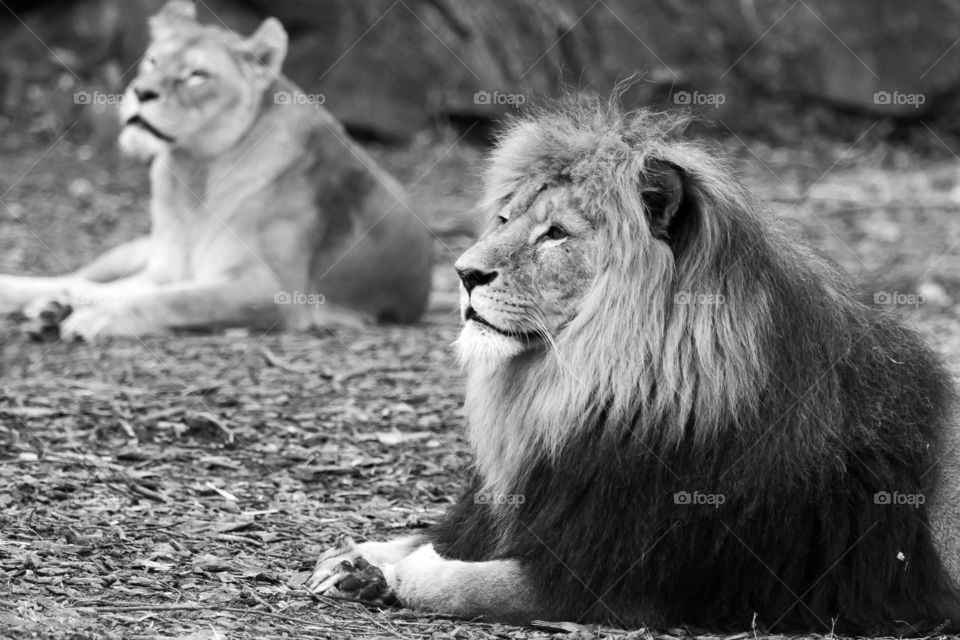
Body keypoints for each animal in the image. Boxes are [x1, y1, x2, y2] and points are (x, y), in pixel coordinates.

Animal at [0, 1, 432, 341]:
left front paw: (99, 318)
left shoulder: (274, 291)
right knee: (79, 279)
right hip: (137, 252)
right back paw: (37, 300)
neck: (192, 172)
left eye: (197, 75)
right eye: (153, 61)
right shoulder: (167, 270)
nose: (142, 92)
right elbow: (147, 291)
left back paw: (53, 310)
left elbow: (174, 301)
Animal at [307, 99, 960, 634]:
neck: (586, 384)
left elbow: (465, 582)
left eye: (556, 234)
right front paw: (354, 558)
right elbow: (434, 536)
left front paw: (395, 576)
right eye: (505, 220)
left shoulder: (612, 581)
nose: (464, 274)